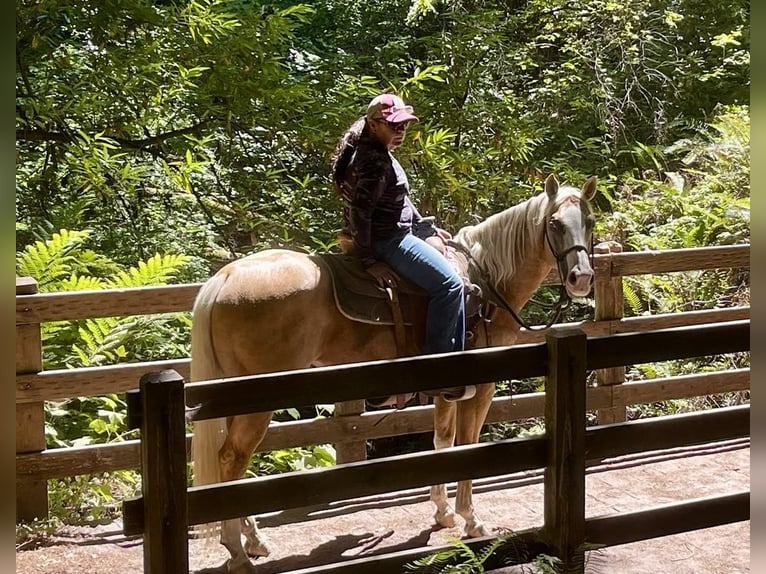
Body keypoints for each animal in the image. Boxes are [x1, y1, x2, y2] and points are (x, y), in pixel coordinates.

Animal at [192, 174, 600, 572]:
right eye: (554, 223)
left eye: (591, 221)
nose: (580, 278)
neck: (487, 282)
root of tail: (225, 276)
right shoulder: (480, 386)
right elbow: (467, 446)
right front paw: (471, 520)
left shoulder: (446, 390)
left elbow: (442, 442)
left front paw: (443, 512)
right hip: (257, 401)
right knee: (232, 459)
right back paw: (239, 551)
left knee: (230, 463)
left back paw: (254, 541)